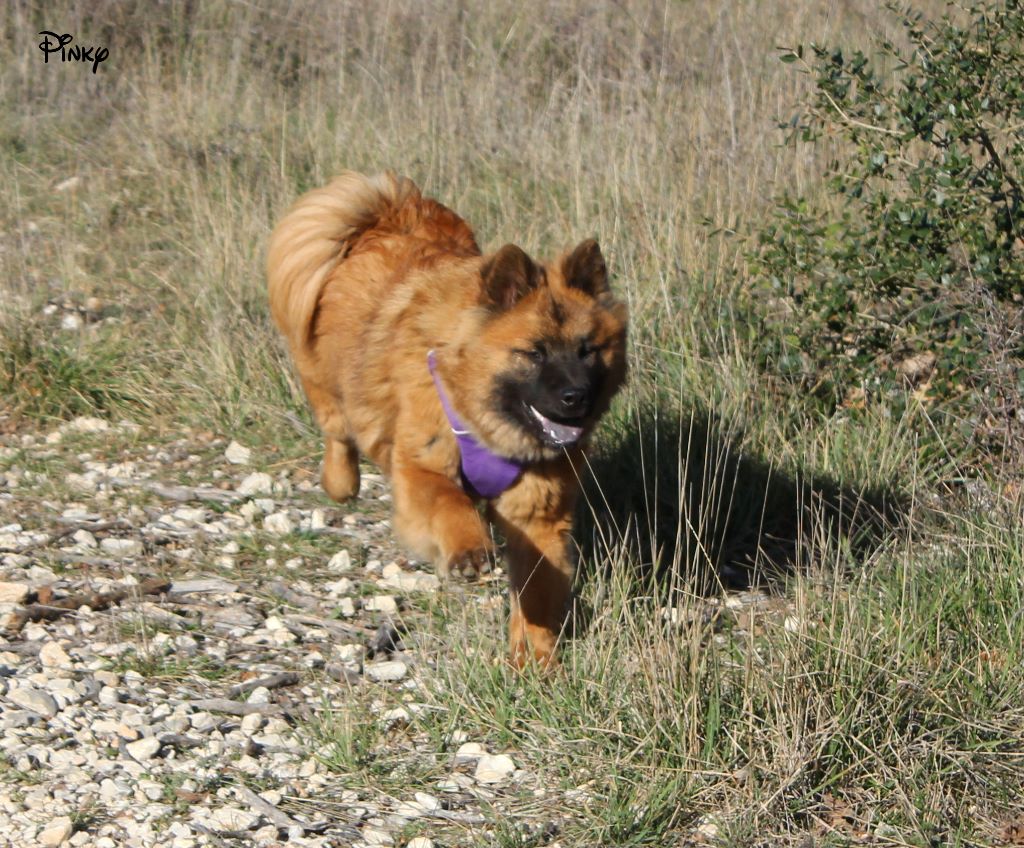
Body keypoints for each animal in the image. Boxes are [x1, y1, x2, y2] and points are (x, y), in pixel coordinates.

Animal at [266, 171, 622, 663]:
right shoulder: (422, 467)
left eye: (588, 350)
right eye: (534, 353)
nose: (577, 398)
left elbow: (537, 588)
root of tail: (390, 216)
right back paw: (341, 482)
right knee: (338, 433)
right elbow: (448, 502)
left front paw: (533, 660)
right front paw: (469, 550)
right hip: (332, 388)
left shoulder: (538, 510)